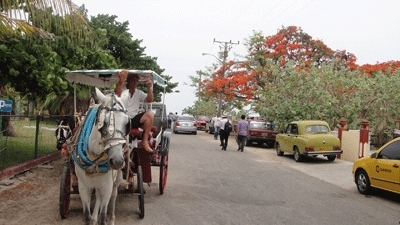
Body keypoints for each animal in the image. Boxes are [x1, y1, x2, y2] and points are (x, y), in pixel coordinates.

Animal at [72, 88, 127, 225]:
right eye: (104, 122)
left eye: (127, 123)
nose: (117, 161)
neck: (94, 159)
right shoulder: (83, 187)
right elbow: (86, 215)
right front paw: (91, 218)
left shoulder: (107, 187)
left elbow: (103, 216)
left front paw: (102, 218)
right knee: (97, 196)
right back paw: (94, 217)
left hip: (116, 180)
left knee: (113, 196)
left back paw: (111, 219)